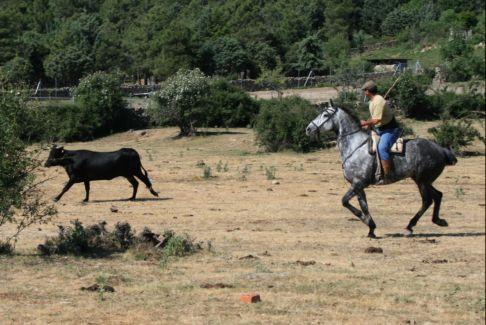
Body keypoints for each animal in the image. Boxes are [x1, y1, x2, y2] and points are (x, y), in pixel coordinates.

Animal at [306, 104, 458, 238]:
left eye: (325, 115)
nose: (308, 129)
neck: (355, 146)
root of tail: (441, 150)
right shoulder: (358, 186)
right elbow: (364, 206)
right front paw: (371, 229)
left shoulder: (358, 184)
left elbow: (345, 201)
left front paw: (366, 221)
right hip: (422, 180)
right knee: (437, 196)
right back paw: (437, 221)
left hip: (423, 181)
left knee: (427, 200)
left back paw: (411, 226)